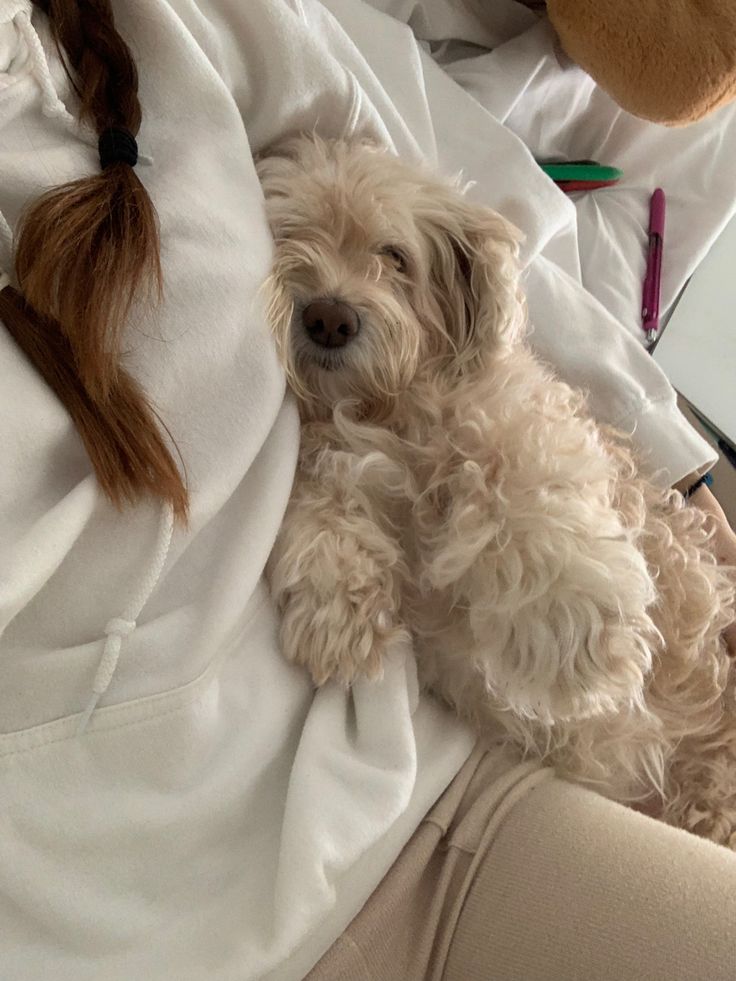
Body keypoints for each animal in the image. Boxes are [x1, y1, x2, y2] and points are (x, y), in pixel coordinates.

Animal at [258, 134, 736, 848]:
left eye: (393, 256)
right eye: (288, 236)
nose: (328, 318)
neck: (384, 411)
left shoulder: (522, 422)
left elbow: (530, 495)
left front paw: (578, 645)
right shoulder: (332, 452)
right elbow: (320, 495)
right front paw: (337, 609)